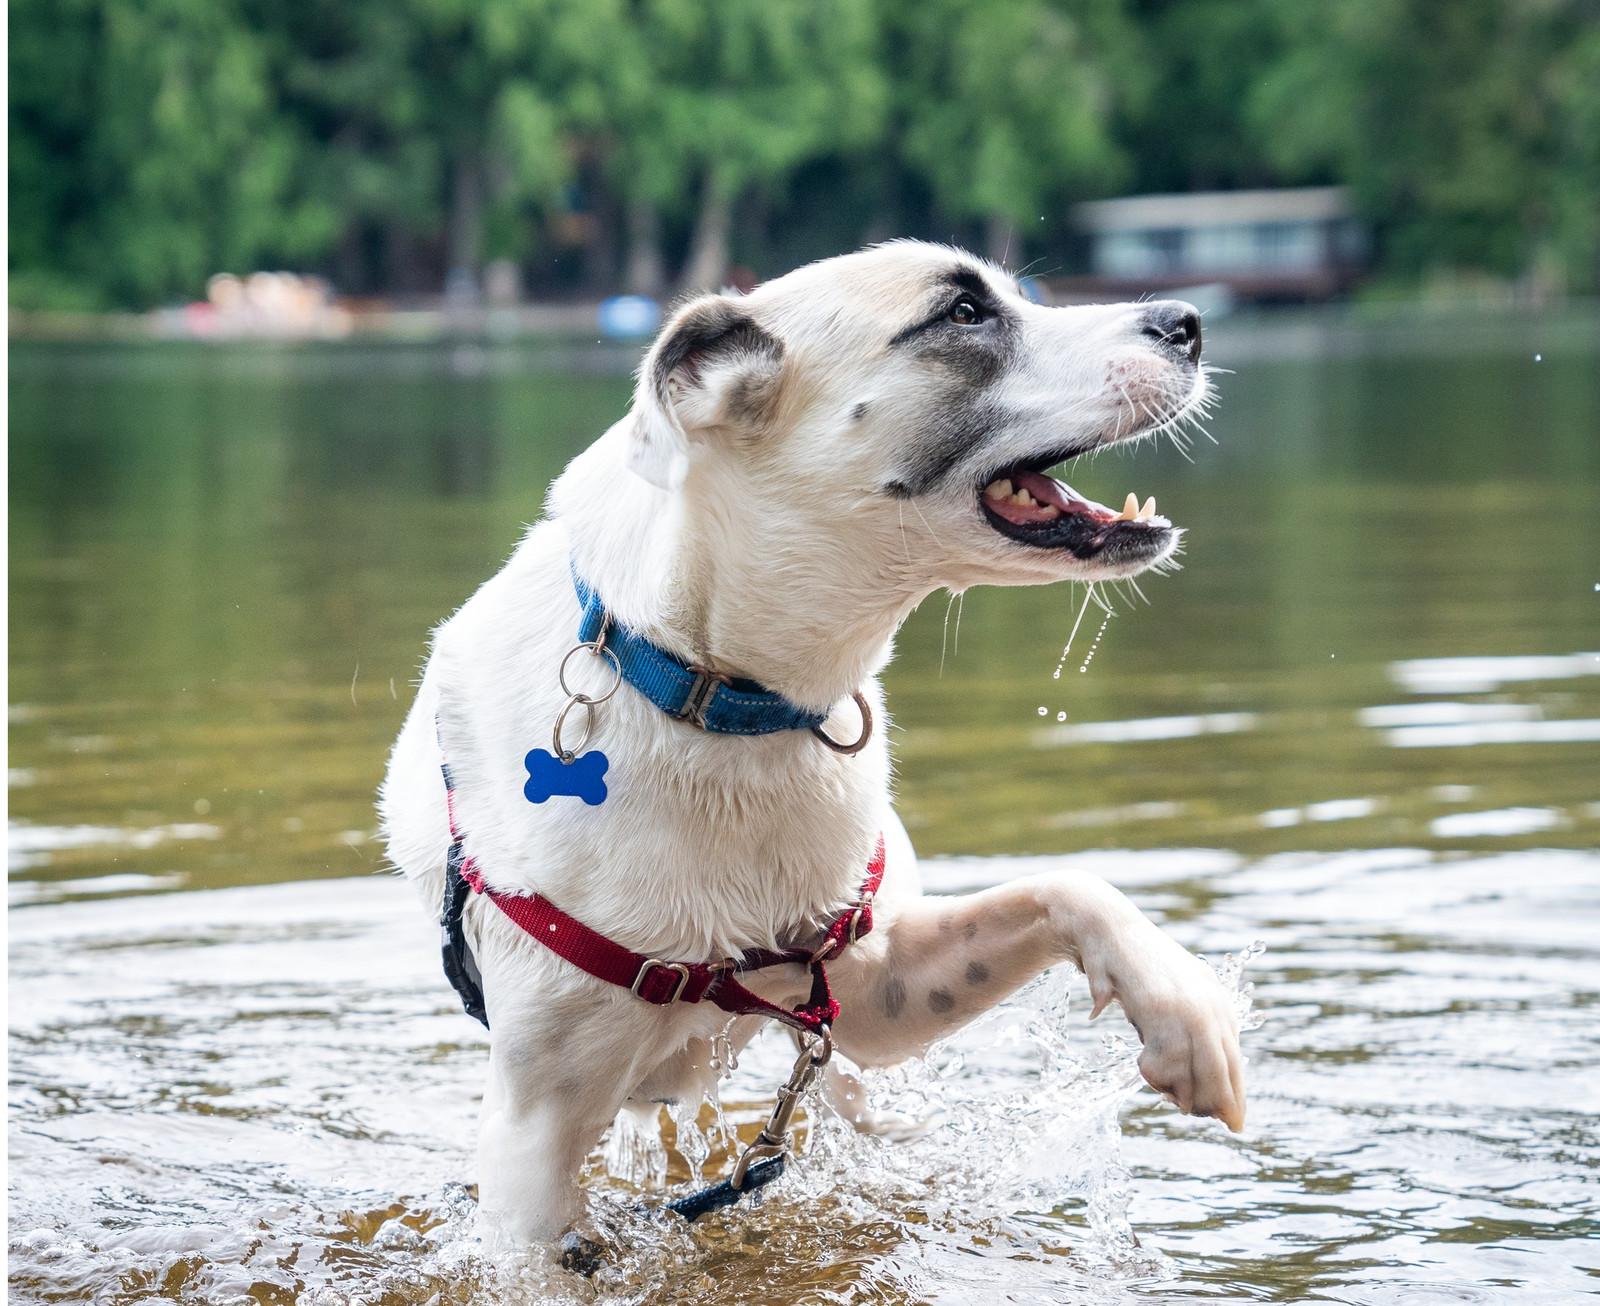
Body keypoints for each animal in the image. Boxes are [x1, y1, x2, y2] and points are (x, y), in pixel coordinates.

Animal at [377, 240, 1248, 1248]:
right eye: (961, 313)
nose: (1188, 321)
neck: (728, 703)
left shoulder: (876, 990)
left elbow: (1073, 886)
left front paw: (1186, 1016)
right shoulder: (531, 1142)